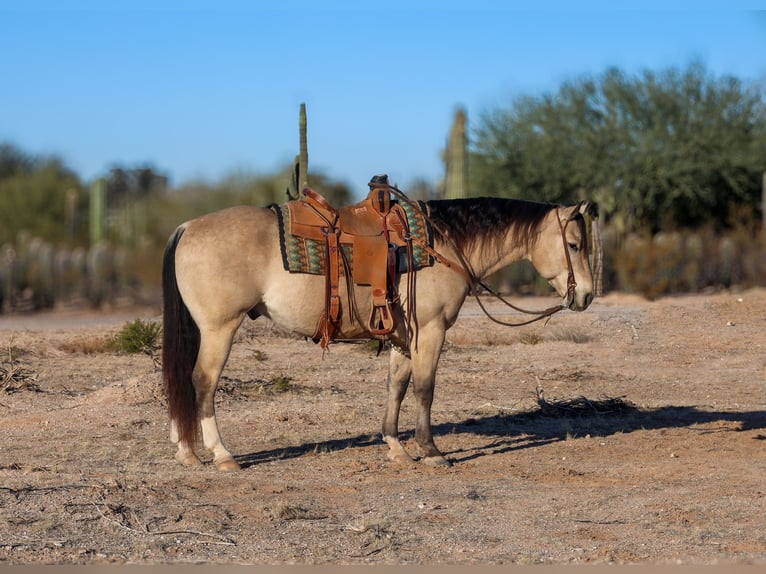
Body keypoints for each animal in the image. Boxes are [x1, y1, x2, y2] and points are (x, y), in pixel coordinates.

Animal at [162, 180, 604, 472]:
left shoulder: (402, 337)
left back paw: (185, 450)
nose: (585, 295)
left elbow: (397, 387)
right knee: (202, 381)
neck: (440, 246)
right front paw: (431, 451)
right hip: (220, 328)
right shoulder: (431, 331)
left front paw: (396, 446)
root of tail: (187, 227)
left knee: (182, 381)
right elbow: (425, 389)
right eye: (575, 245)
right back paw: (221, 455)